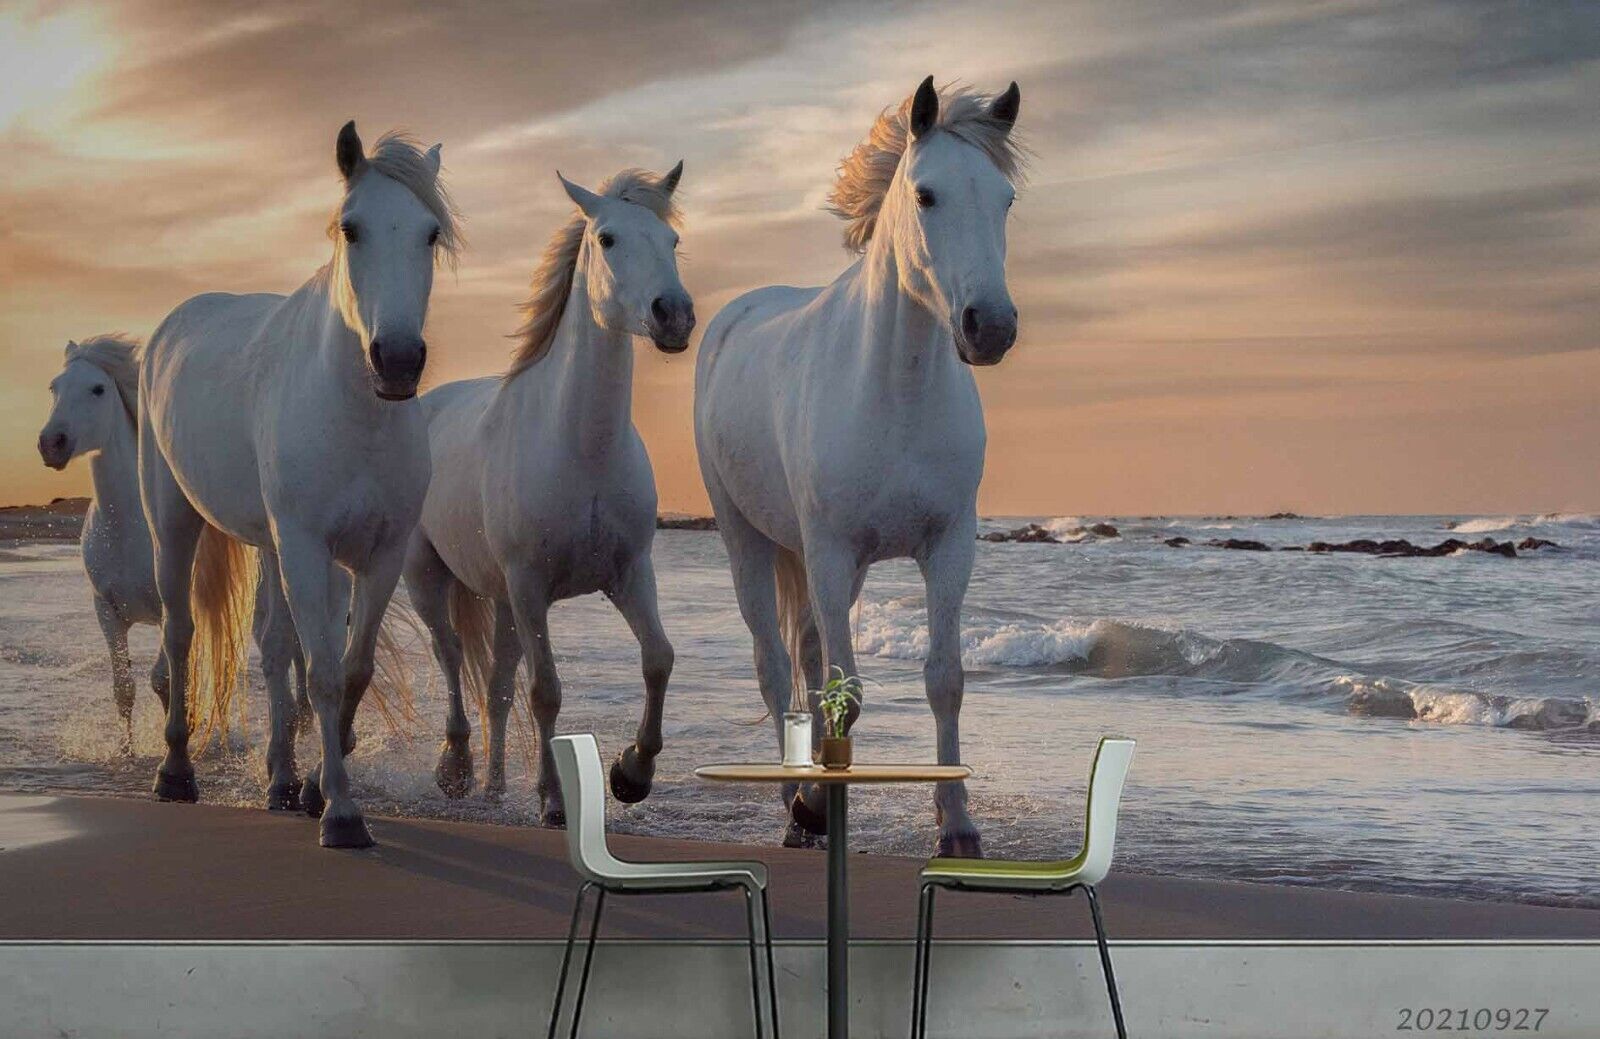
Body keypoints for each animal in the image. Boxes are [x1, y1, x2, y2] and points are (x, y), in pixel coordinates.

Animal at [37, 335, 307, 754]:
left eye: (98, 389)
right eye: (54, 387)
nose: (52, 443)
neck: (127, 528)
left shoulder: (172, 606)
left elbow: (163, 680)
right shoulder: (107, 612)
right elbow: (125, 688)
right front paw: (128, 751)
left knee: (291, 652)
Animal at [138, 123, 459, 847]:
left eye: (429, 233)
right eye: (352, 228)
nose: (398, 360)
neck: (355, 415)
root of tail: (172, 326)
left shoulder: (378, 555)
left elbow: (351, 668)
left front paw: (315, 789)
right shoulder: (309, 549)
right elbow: (323, 674)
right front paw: (341, 813)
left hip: (271, 544)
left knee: (273, 646)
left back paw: (282, 782)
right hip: (173, 522)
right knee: (180, 632)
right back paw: (175, 772)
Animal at [402, 163, 691, 825]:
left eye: (672, 242)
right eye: (607, 239)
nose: (673, 315)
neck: (581, 448)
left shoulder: (629, 574)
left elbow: (658, 659)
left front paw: (632, 773)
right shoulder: (532, 585)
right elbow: (547, 690)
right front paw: (555, 801)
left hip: (503, 601)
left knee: (496, 686)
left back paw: (493, 786)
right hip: (430, 578)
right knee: (451, 657)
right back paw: (456, 770)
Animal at [694, 78, 1024, 855]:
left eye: (1005, 199)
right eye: (927, 195)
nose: (990, 327)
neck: (895, 392)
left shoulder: (947, 547)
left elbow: (943, 679)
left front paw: (956, 825)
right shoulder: (831, 550)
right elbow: (844, 689)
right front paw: (816, 807)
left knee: (808, 660)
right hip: (748, 540)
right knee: (776, 666)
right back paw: (795, 807)